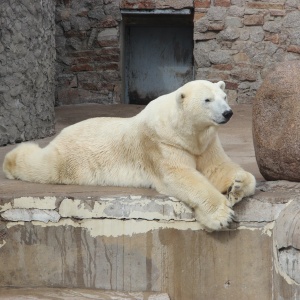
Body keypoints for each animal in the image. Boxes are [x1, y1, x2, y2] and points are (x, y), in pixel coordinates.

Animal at [2, 80, 255, 232]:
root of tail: (63, 132)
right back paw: (12, 159)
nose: (228, 113)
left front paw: (238, 184)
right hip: (73, 158)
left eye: (224, 96)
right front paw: (222, 216)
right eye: (207, 100)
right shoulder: (161, 143)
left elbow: (217, 167)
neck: (184, 130)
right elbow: (182, 176)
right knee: (45, 166)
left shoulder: (206, 142)